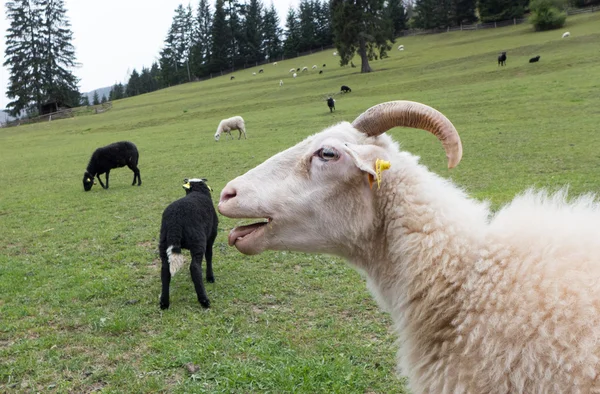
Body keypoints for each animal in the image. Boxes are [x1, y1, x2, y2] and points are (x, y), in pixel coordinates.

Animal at [159, 177, 218, 310]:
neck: (198, 191)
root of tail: (175, 220)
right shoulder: (210, 237)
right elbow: (209, 256)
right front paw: (210, 277)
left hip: (163, 242)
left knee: (165, 269)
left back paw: (164, 303)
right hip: (198, 240)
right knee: (195, 267)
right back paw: (204, 300)